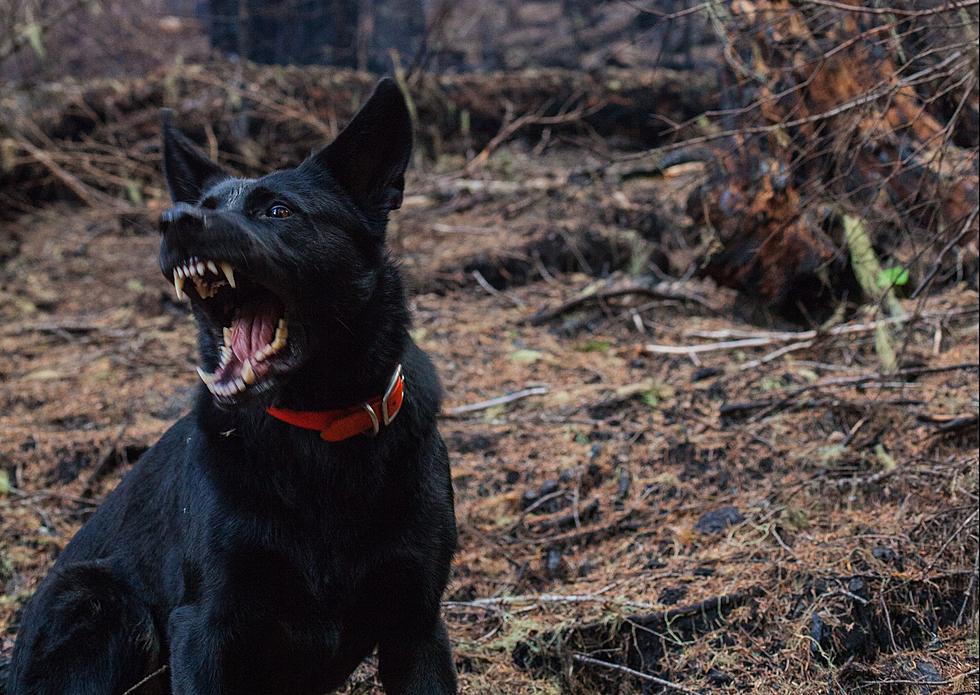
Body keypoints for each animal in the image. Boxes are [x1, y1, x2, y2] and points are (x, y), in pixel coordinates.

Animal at [7, 79, 460, 692]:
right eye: (203, 207)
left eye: (278, 210)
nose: (174, 220)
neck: (317, 432)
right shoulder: (205, 625)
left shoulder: (416, 626)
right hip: (102, 600)